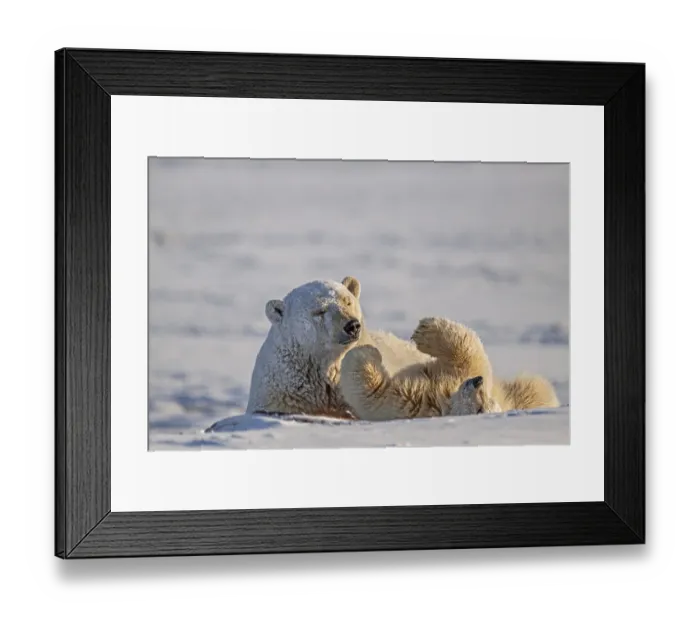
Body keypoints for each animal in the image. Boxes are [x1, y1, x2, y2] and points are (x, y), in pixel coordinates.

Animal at [339, 316, 559, 421]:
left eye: (481, 409)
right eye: (485, 399)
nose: (477, 382)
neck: (443, 398)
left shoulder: (410, 404)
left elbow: (374, 392)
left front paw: (368, 352)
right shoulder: (458, 376)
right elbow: (468, 353)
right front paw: (424, 330)